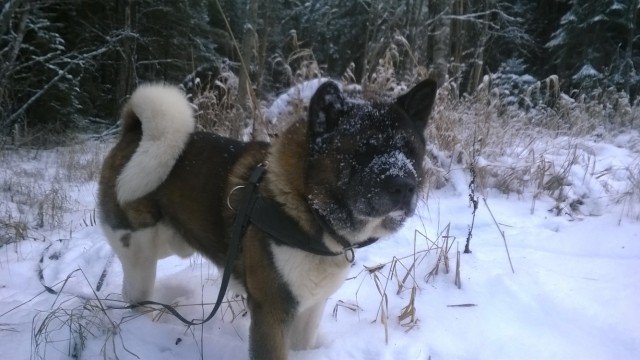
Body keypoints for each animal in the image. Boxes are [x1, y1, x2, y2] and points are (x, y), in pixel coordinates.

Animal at [97, 77, 438, 358]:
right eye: (364, 150)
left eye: (411, 152)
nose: (405, 185)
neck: (310, 209)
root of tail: (134, 132)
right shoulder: (271, 312)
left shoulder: (310, 307)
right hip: (140, 251)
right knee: (136, 293)